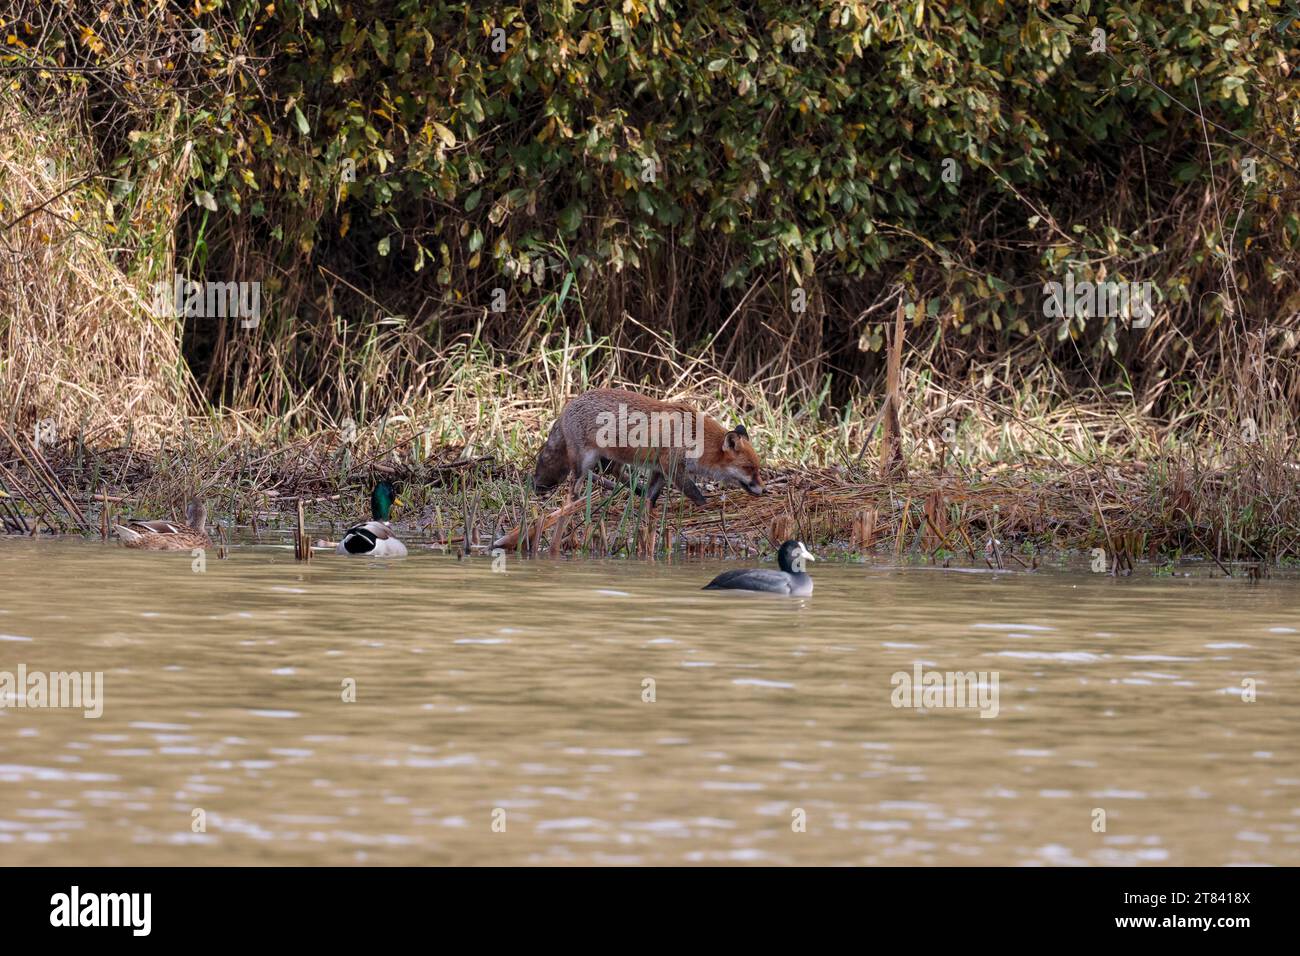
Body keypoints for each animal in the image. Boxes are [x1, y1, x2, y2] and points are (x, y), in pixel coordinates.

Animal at [532, 388, 765, 505]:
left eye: (758, 469)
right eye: (749, 469)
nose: (764, 490)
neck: (695, 436)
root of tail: (568, 404)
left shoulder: (659, 468)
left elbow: (653, 493)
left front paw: (647, 507)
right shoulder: (672, 465)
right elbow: (693, 492)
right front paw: (705, 505)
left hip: (612, 456)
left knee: (614, 470)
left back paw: (637, 490)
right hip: (584, 462)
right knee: (576, 483)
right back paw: (575, 504)